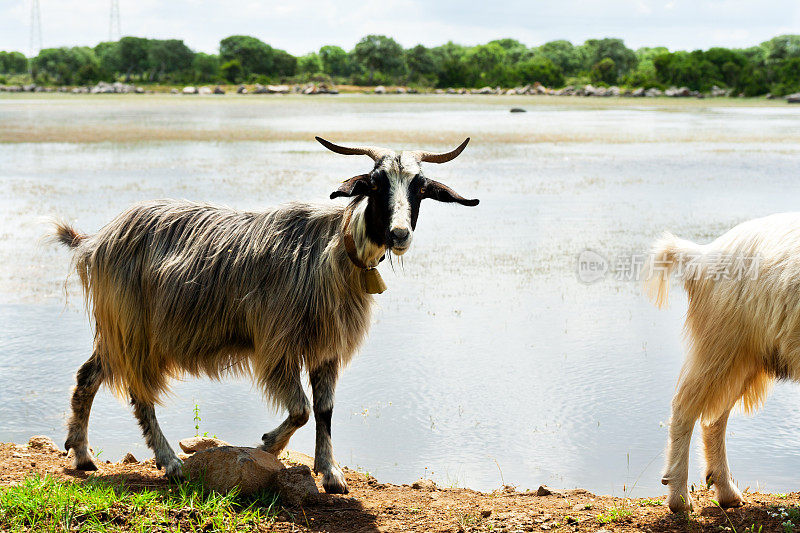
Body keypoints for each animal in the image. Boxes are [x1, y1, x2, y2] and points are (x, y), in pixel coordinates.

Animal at [57, 135, 482, 492]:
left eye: (420, 188)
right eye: (376, 184)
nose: (399, 235)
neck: (332, 249)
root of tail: (94, 241)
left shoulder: (326, 347)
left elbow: (324, 409)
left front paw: (330, 473)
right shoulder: (278, 343)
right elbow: (301, 410)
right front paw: (269, 445)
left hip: (118, 329)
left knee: (88, 375)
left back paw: (82, 454)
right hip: (134, 327)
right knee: (138, 391)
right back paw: (169, 461)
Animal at [644, 214, 800, 512]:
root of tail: (700, 256)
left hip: (745, 356)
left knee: (714, 419)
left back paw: (727, 492)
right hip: (721, 344)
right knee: (685, 408)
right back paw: (680, 498)